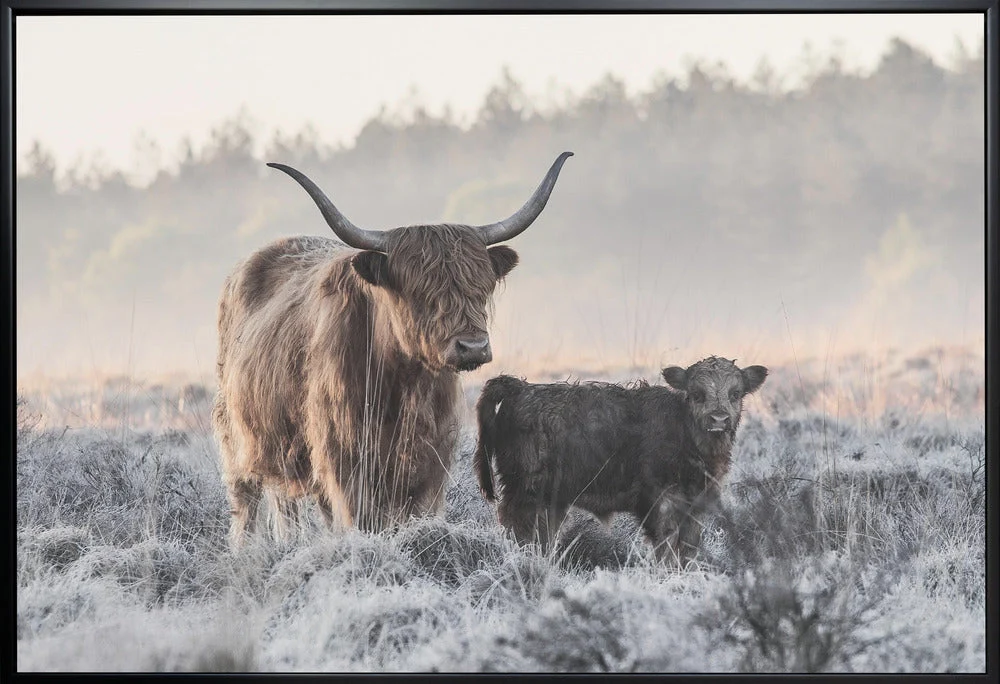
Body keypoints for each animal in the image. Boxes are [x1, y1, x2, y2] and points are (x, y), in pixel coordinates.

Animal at [213, 152, 573, 547]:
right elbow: (359, 519)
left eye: (480, 288)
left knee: (286, 504)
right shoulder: (345, 460)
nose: (473, 347)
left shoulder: (432, 463)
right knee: (246, 503)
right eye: (420, 293)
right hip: (237, 439)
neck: (405, 384)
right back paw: (245, 552)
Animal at [473, 356, 767, 566]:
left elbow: (688, 549)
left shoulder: (695, 505)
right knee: (518, 529)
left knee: (543, 535)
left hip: (551, 500)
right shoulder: (661, 501)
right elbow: (667, 546)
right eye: (697, 394)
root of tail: (520, 388)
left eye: (735, 393)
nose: (719, 419)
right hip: (525, 490)